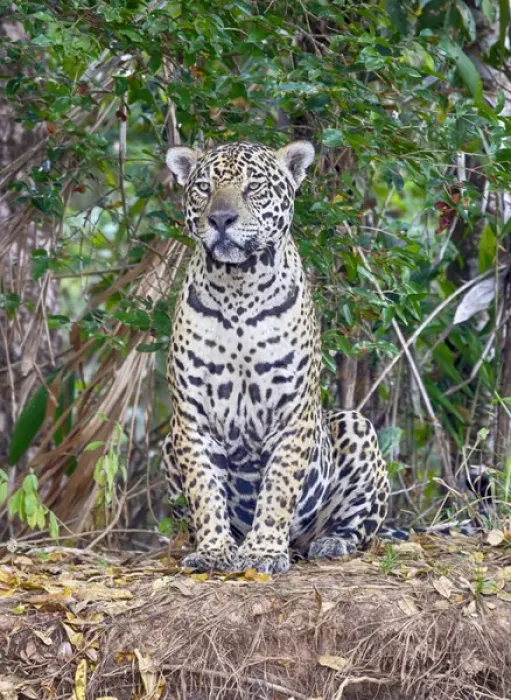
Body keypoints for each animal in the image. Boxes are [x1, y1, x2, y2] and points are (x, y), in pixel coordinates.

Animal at [162, 139, 389, 575]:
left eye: (254, 186)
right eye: (204, 188)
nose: (221, 219)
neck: (237, 286)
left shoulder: (292, 413)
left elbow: (279, 487)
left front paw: (264, 551)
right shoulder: (191, 415)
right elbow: (204, 488)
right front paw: (214, 550)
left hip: (356, 427)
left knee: (358, 526)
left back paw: (330, 542)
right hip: (168, 442)